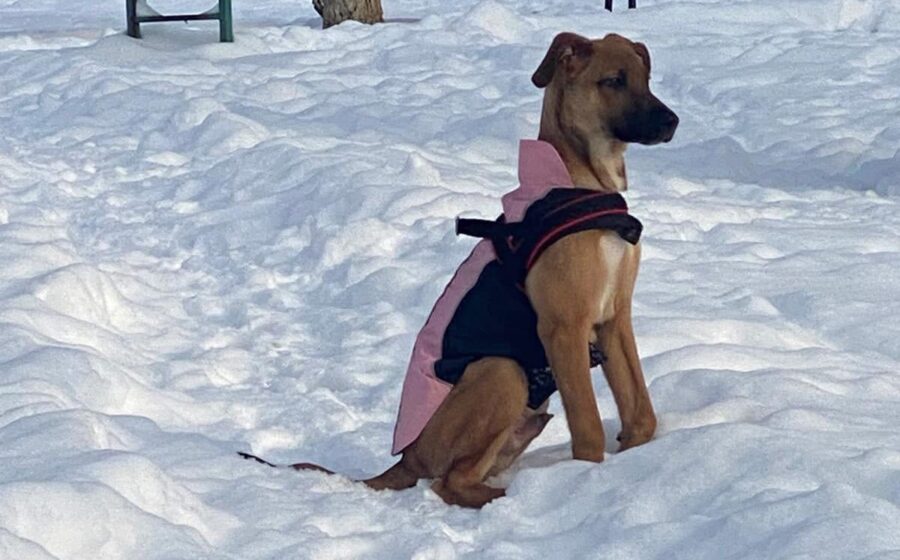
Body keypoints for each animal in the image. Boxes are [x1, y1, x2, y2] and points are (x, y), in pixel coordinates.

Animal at [241, 32, 678, 508]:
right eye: (613, 80)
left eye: (646, 78)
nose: (672, 122)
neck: (582, 182)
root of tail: (407, 458)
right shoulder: (565, 328)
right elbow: (589, 429)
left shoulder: (614, 318)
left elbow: (641, 414)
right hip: (501, 373)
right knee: (448, 483)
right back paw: (504, 498)